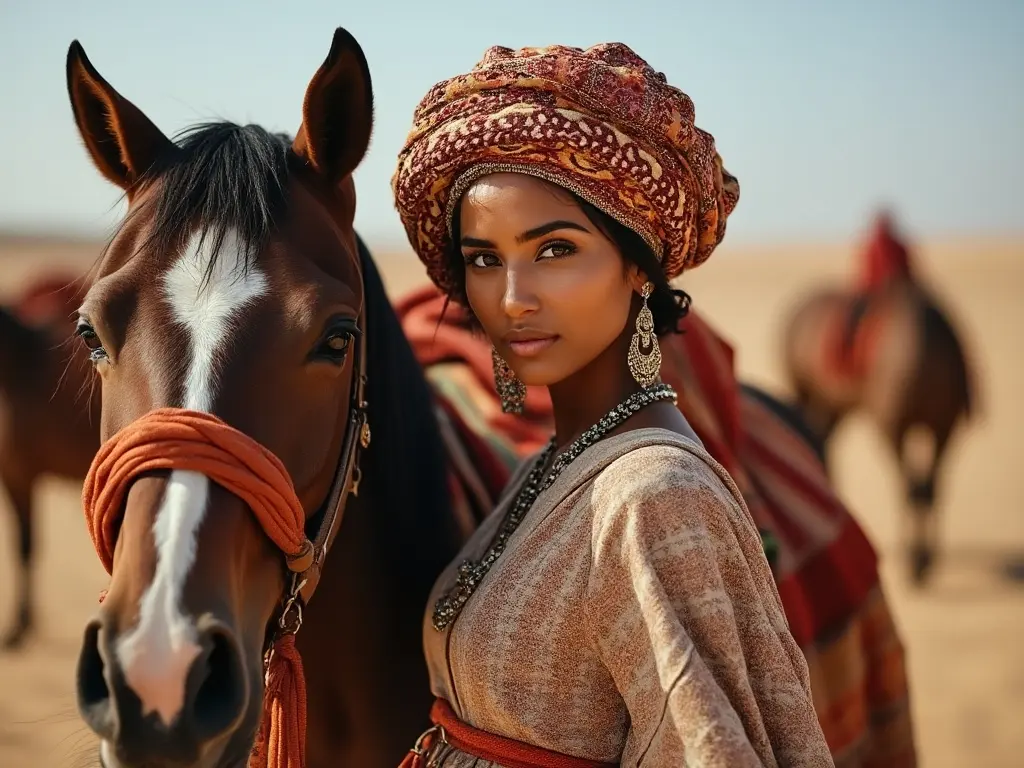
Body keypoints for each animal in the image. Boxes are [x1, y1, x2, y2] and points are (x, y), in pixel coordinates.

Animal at [778, 214, 970, 585]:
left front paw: (925, 560)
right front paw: (916, 561)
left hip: (834, 404)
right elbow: (911, 488)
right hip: (807, 393)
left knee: (825, 440)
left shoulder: (945, 426)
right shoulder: (894, 427)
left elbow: (929, 487)